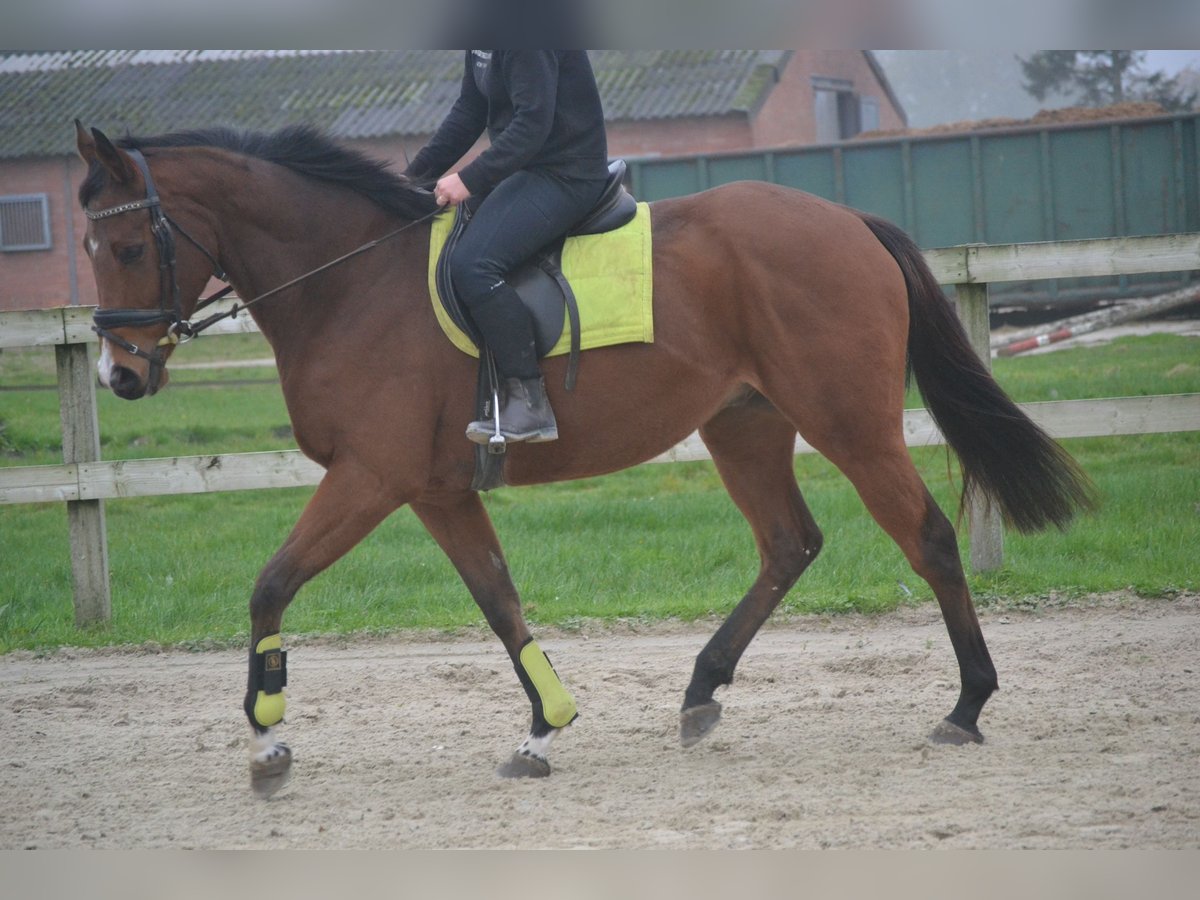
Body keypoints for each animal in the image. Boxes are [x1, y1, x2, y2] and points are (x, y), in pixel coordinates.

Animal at [70, 123, 1094, 801]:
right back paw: (701, 692)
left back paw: (966, 706)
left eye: (127, 243)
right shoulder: (436, 492)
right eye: (88, 246)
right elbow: (499, 601)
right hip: (745, 424)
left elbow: (271, 586)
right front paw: (542, 732)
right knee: (789, 543)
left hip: (850, 424)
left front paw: (270, 742)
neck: (349, 282)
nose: (121, 375)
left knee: (927, 537)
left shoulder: (369, 479)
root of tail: (845, 219)